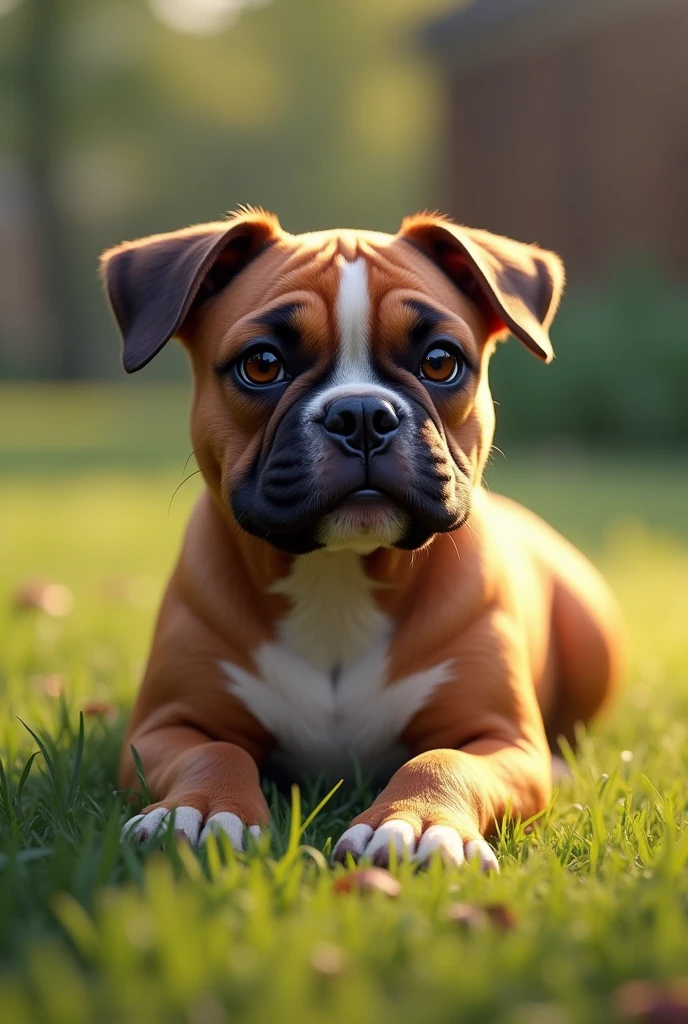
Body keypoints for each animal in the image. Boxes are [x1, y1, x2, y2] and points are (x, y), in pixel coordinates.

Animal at [100, 209, 622, 872]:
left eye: (440, 361)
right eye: (262, 364)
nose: (363, 413)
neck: (336, 573)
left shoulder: (500, 740)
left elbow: (443, 761)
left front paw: (418, 823)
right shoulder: (166, 727)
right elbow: (214, 752)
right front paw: (200, 812)